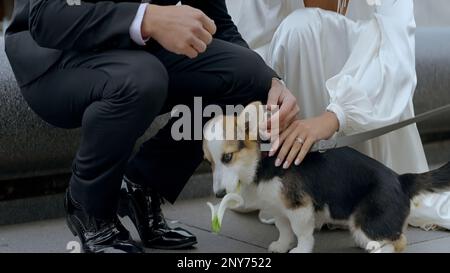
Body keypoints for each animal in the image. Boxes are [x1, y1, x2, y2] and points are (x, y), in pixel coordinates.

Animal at [203, 101, 450, 252]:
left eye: (227, 157)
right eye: (209, 162)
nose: (219, 194)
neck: (263, 161)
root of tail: (402, 179)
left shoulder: (299, 208)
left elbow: (301, 233)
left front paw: (300, 250)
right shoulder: (278, 207)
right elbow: (284, 229)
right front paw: (281, 246)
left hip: (367, 221)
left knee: (398, 241)